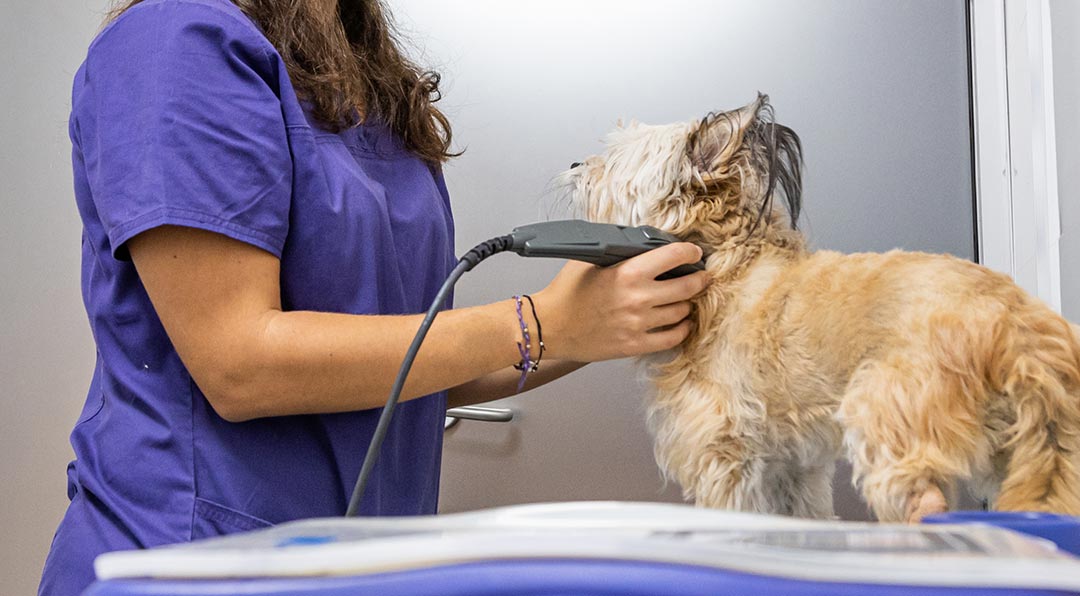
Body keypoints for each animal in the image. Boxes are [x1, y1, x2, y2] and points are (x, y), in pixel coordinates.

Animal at [558, 94, 1080, 522]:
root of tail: (1014, 321)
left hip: (885, 419)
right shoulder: (795, 467)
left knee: (925, 504)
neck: (724, 265)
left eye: (610, 161)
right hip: (1024, 449)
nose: (575, 163)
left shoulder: (724, 456)